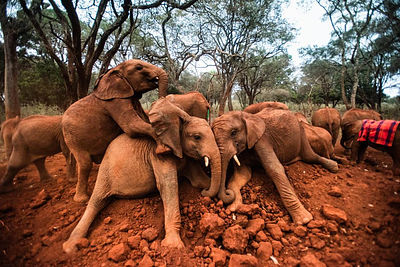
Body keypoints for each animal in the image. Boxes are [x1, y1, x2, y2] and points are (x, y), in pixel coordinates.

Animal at [61, 59, 168, 203]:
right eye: (139, 68)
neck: (115, 70)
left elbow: (142, 119)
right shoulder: (114, 101)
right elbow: (131, 126)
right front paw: (163, 150)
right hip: (72, 138)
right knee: (84, 164)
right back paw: (81, 200)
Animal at [61, 99, 222, 255]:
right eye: (197, 137)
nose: (204, 194)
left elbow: (198, 181)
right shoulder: (158, 153)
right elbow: (168, 186)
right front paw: (173, 246)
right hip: (105, 171)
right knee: (96, 201)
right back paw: (70, 247)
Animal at [211, 110, 340, 225]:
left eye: (233, 132)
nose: (227, 192)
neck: (246, 115)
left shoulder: (262, 139)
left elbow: (275, 169)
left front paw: (304, 220)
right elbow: (242, 174)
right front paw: (233, 208)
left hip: (301, 134)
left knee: (310, 157)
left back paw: (334, 167)